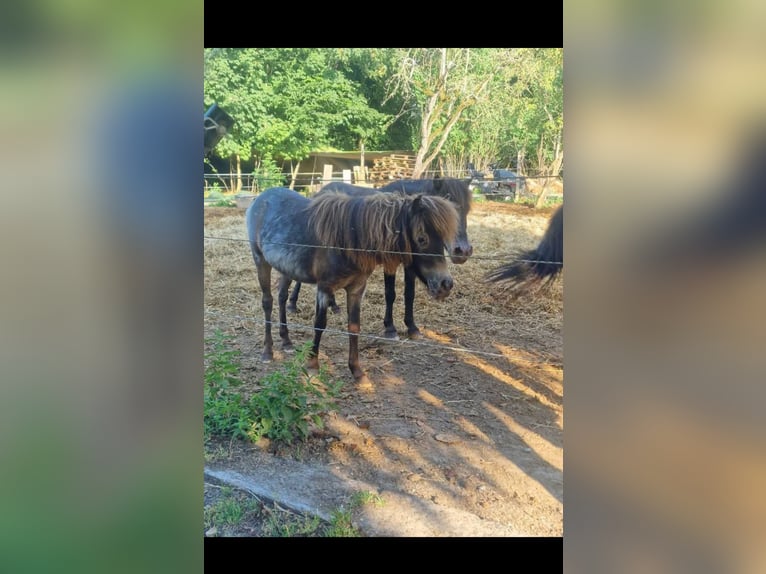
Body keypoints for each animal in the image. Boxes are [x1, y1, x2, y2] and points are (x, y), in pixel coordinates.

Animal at [246, 186, 460, 381]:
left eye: (442, 240)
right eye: (422, 239)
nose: (445, 284)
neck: (348, 238)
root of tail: (261, 198)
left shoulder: (357, 289)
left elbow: (354, 326)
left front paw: (357, 371)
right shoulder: (324, 288)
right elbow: (319, 324)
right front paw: (312, 366)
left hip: (286, 268)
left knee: (282, 297)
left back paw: (287, 341)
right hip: (260, 261)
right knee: (268, 302)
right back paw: (268, 352)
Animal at [286, 177, 474, 339]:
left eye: (467, 210)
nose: (463, 251)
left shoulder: (410, 265)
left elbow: (409, 294)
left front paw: (412, 327)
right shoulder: (389, 263)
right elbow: (390, 293)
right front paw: (390, 328)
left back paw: (334, 306)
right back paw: (292, 305)